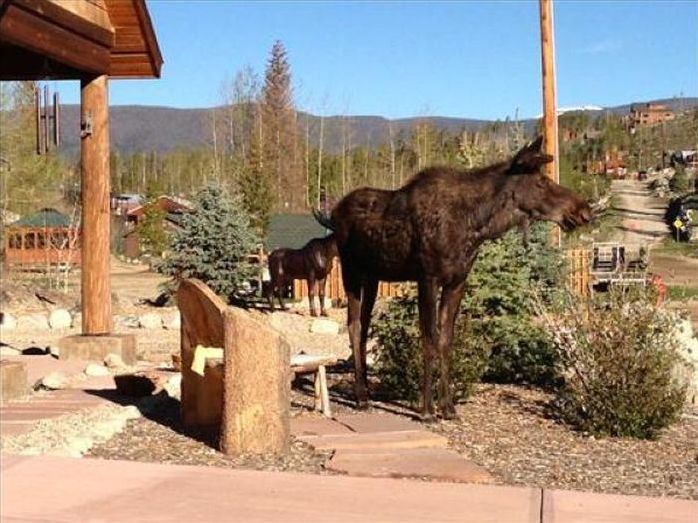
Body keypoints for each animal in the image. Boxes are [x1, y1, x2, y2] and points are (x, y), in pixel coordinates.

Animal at [316, 137, 592, 420]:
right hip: (351, 270)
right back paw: (361, 397)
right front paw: (427, 409)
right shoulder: (428, 277)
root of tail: (333, 215)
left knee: (363, 326)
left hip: (373, 276)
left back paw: (367, 391)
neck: (477, 225)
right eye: (541, 182)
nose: (583, 210)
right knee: (353, 324)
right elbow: (429, 338)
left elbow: (446, 340)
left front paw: (447, 407)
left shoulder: (457, 281)